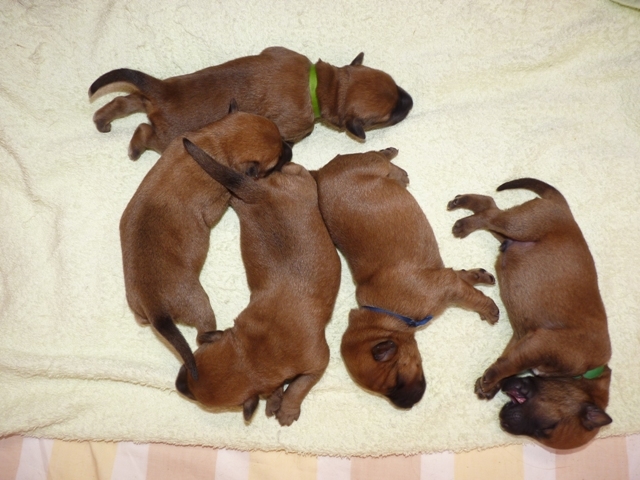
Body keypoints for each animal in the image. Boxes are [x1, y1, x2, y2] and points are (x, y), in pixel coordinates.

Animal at [89, 46, 413, 159]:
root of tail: (162, 89)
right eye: (386, 117)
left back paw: (102, 121)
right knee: (144, 131)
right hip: (166, 137)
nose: (410, 102)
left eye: (394, 82)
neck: (321, 86)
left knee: (124, 101)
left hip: (143, 99)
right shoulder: (295, 127)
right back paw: (134, 148)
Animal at [120, 105, 291, 381]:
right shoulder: (214, 204)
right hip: (200, 304)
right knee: (200, 336)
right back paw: (216, 334)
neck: (217, 141)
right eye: (275, 161)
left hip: (137, 307)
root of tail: (155, 308)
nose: (291, 149)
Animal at [175, 138, 341, 426]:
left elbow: (299, 386)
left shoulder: (318, 362)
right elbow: (280, 386)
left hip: (299, 187)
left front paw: (287, 408)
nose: (177, 384)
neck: (255, 352)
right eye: (191, 361)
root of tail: (257, 193)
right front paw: (275, 398)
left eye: (196, 398)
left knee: (297, 171)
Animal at [313, 149, 499, 409]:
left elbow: (474, 299)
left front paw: (490, 310)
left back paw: (395, 164)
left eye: (396, 381)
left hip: (367, 164)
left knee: (374, 155)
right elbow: (462, 278)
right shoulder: (445, 278)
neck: (384, 314)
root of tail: (322, 170)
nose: (407, 406)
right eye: (383, 393)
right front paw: (479, 276)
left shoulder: (448, 288)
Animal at [447, 178, 612, 449]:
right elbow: (509, 365)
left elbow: (507, 360)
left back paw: (463, 203)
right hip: (521, 225)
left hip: (510, 232)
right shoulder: (542, 344)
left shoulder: (524, 339)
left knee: (491, 206)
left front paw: (488, 385)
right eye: (549, 427)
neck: (586, 371)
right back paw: (463, 222)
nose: (504, 423)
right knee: (491, 214)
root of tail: (562, 206)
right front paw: (490, 379)